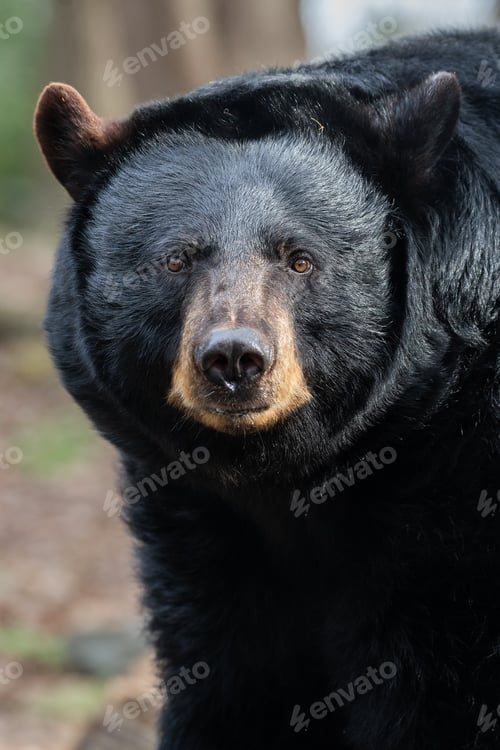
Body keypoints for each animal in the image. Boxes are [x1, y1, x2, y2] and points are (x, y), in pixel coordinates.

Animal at [34, 28, 499, 750]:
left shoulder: (458, 494)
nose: (233, 359)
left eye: (299, 259)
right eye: (176, 259)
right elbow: (232, 673)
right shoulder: (198, 519)